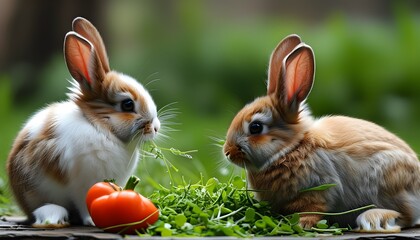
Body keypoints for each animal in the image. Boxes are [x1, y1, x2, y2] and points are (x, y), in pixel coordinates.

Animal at [6, 16, 161, 227]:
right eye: (128, 105)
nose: (156, 128)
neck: (100, 127)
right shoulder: (83, 184)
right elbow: (84, 203)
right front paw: (93, 221)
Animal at [223, 34, 420, 232]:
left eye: (255, 127)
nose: (227, 152)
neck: (290, 149)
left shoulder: (319, 189)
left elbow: (314, 209)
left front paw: (301, 224)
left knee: (406, 217)